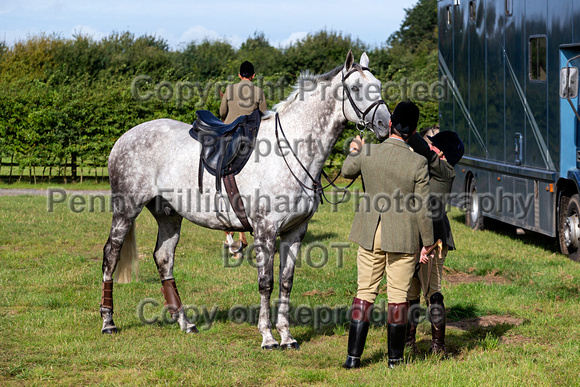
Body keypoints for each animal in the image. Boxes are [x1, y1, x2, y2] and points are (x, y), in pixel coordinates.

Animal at [101, 50, 390, 350]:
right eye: (355, 88)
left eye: (378, 86)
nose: (385, 124)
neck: (289, 150)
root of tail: (126, 136)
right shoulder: (266, 230)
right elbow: (266, 283)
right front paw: (268, 337)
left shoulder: (295, 232)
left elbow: (286, 282)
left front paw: (287, 336)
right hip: (126, 210)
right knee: (111, 255)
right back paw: (108, 322)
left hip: (168, 215)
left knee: (164, 258)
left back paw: (185, 323)